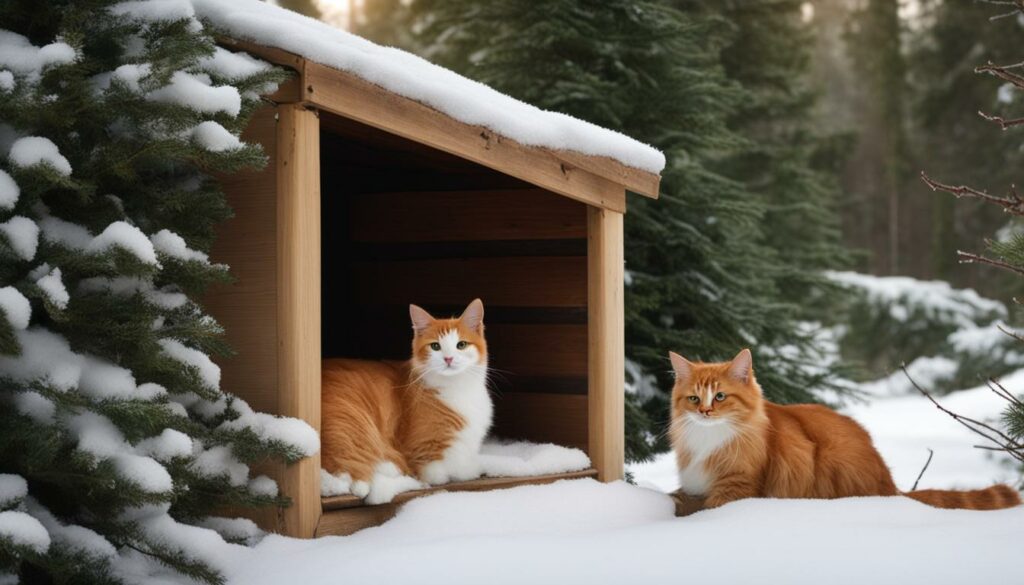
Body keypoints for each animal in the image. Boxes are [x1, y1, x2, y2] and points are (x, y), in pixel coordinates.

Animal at [321, 299, 493, 506]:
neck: (457, 386)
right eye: (435, 346)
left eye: (461, 345)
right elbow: (450, 472)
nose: (448, 358)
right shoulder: (424, 454)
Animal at [667, 350, 1019, 510]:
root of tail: (890, 486)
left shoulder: (738, 485)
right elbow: (681, 497)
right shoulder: (695, 482)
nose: (704, 411)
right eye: (694, 398)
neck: (708, 439)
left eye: (720, 396)